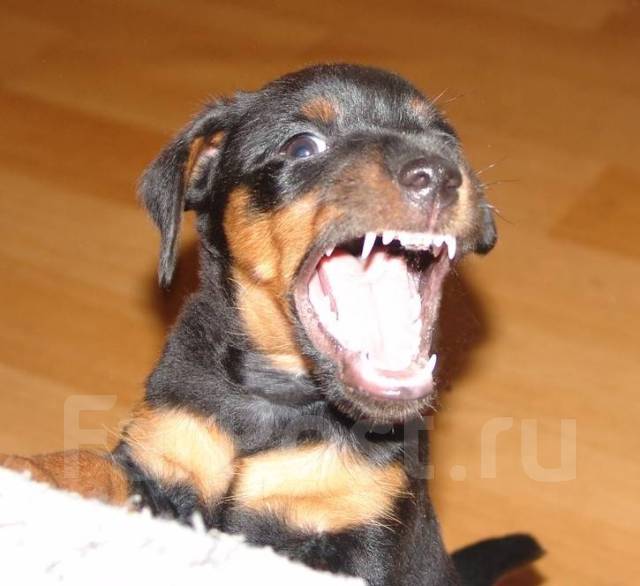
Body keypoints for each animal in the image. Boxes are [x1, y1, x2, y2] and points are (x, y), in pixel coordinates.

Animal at [1, 64, 542, 585]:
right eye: (301, 146)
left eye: (446, 140)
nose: (439, 173)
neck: (277, 396)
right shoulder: (162, 464)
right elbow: (90, 465)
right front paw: (28, 470)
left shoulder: (361, 529)